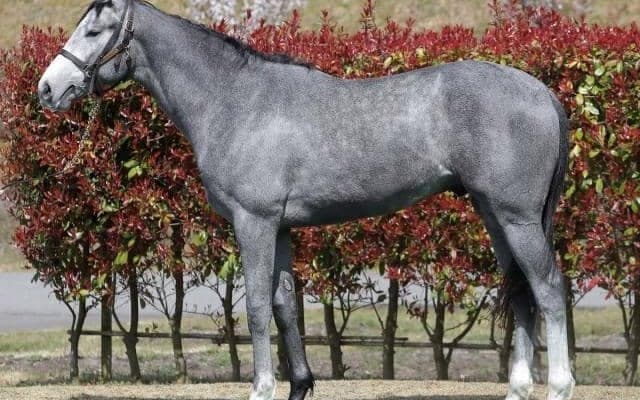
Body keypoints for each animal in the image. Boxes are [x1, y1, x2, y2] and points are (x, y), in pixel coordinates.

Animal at [38, 1, 575, 399]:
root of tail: (542, 92)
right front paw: (299, 384)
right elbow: (284, 304)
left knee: (548, 289)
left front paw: (261, 388)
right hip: (495, 216)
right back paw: (518, 388)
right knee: (523, 292)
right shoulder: (279, 228)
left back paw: (560, 385)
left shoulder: (253, 222)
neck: (235, 100)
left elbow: (257, 305)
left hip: (518, 218)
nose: (47, 89)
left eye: (94, 30)